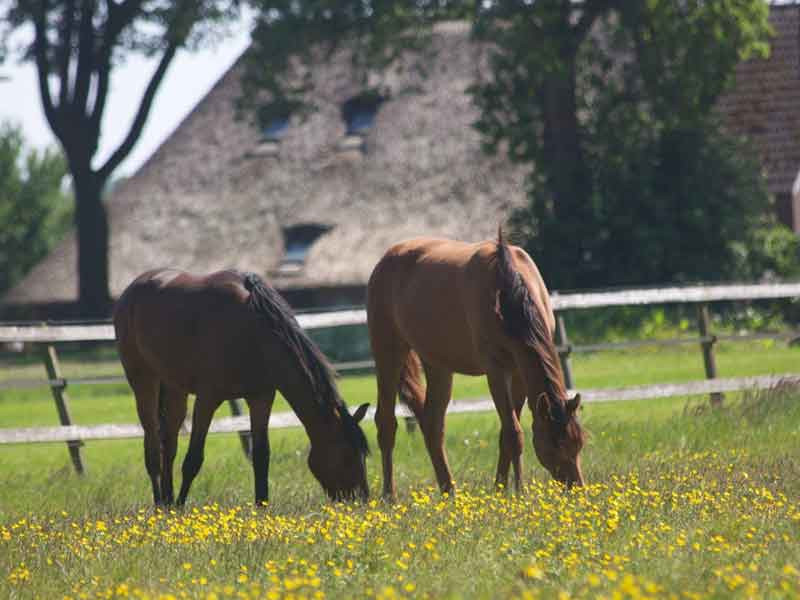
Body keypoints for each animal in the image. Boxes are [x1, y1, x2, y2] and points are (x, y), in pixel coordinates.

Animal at [114, 270, 370, 504]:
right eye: (347, 457)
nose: (362, 500)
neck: (253, 331)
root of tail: (131, 290)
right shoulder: (207, 399)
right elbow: (193, 459)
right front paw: (180, 507)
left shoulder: (261, 398)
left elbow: (261, 456)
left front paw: (261, 506)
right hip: (143, 380)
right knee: (153, 446)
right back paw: (161, 504)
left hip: (175, 387)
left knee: (169, 442)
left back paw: (167, 501)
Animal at [366, 230, 584, 496]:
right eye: (554, 445)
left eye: (579, 443)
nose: (577, 488)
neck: (509, 290)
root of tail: (385, 260)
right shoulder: (496, 369)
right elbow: (514, 434)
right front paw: (519, 490)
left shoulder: (519, 372)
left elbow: (506, 433)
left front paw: (501, 488)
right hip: (388, 352)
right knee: (386, 423)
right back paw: (389, 494)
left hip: (438, 364)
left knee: (433, 425)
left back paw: (449, 491)